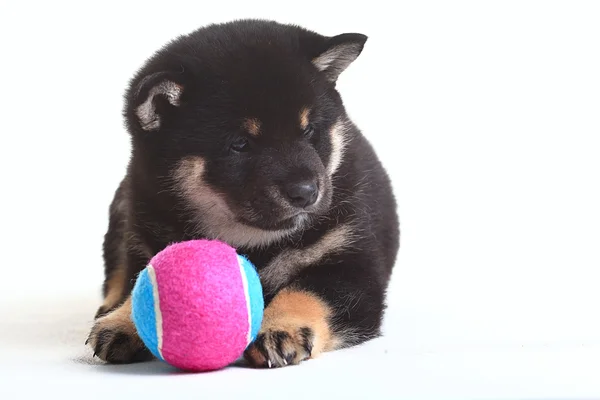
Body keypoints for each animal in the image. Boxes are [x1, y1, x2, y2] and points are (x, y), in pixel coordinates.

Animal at [85, 19, 398, 368]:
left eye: (308, 131)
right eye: (240, 144)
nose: (306, 192)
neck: (253, 241)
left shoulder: (352, 266)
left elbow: (308, 292)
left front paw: (281, 326)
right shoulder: (146, 236)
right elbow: (139, 279)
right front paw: (123, 320)